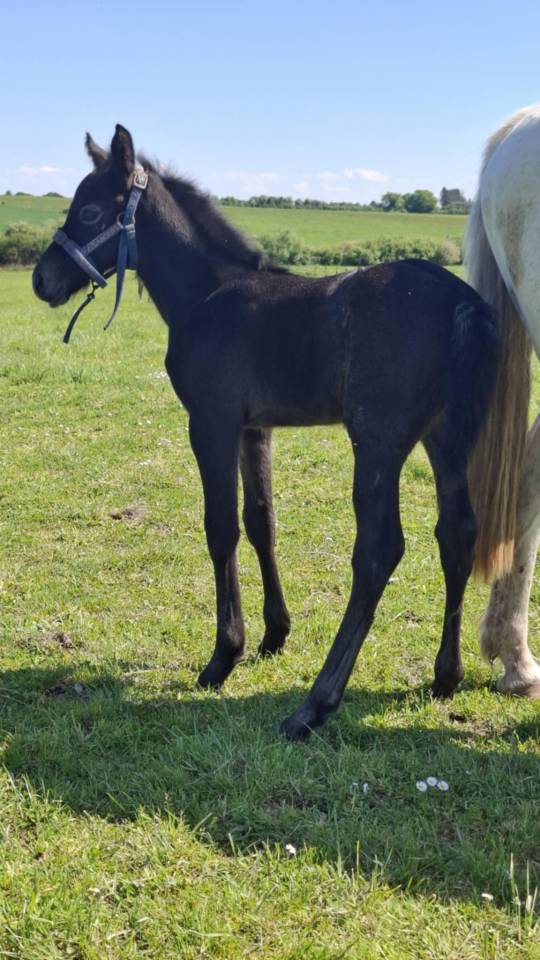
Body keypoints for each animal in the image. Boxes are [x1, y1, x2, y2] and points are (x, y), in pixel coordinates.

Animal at [32, 124, 500, 740]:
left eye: (88, 210)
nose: (41, 279)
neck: (207, 294)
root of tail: (460, 301)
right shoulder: (256, 429)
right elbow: (262, 522)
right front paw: (275, 633)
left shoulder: (211, 421)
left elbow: (221, 528)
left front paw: (223, 655)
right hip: (446, 438)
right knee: (458, 533)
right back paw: (445, 676)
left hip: (377, 439)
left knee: (379, 549)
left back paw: (315, 704)